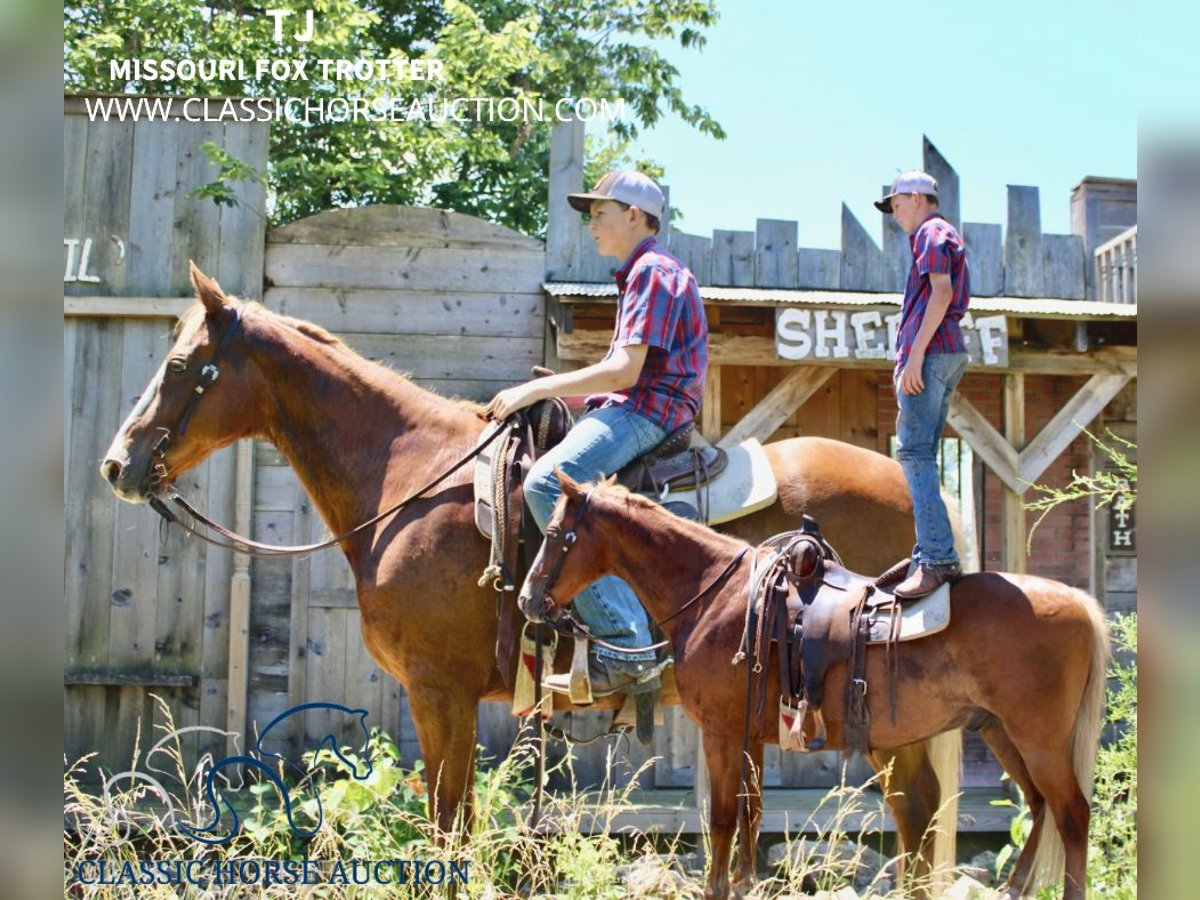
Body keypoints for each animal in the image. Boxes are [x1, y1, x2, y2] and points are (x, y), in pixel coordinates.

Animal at [105, 266, 964, 868]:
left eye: (181, 365)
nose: (118, 463)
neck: (413, 478)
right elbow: (456, 821)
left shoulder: (438, 691)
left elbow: (446, 825)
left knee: (915, 810)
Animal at [520, 475, 1108, 897]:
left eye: (553, 534)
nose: (528, 599)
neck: (716, 593)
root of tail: (1078, 602)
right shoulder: (751, 739)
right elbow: (751, 816)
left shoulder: (720, 732)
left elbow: (723, 820)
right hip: (1000, 732)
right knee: (1032, 806)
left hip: (1038, 739)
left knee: (1072, 814)